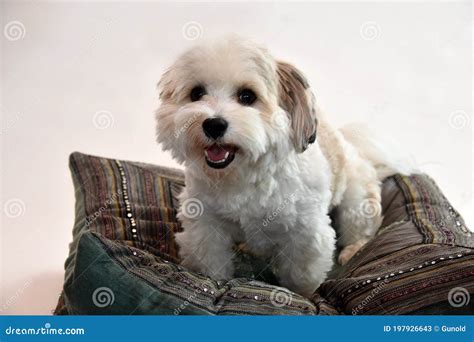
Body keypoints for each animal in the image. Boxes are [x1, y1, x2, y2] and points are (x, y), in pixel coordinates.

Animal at [156, 35, 414, 296]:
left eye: (247, 96)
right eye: (196, 93)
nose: (214, 124)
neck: (246, 174)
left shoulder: (306, 237)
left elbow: (300, 281)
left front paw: (304, 296)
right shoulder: (205, 225)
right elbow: (210, 265)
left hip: (357, 202)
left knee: (360, 230)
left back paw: (352, 249)